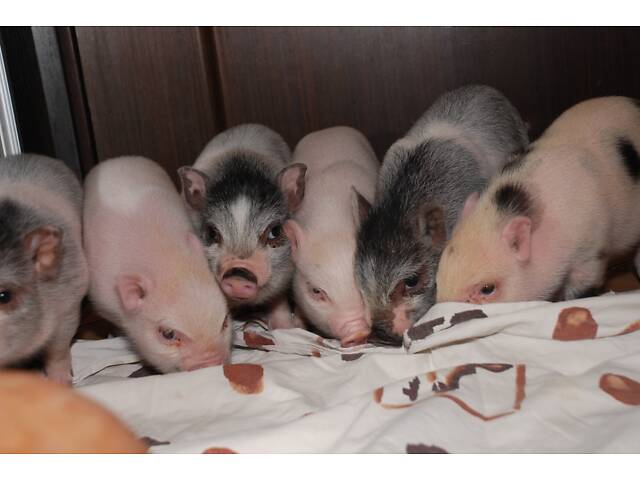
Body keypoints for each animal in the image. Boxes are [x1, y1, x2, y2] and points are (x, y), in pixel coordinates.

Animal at [279, 127, 379, 347]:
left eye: (362, 282)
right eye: (316, 291)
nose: (357, 333)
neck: (331, 225)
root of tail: (327, 129)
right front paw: (297, 325)